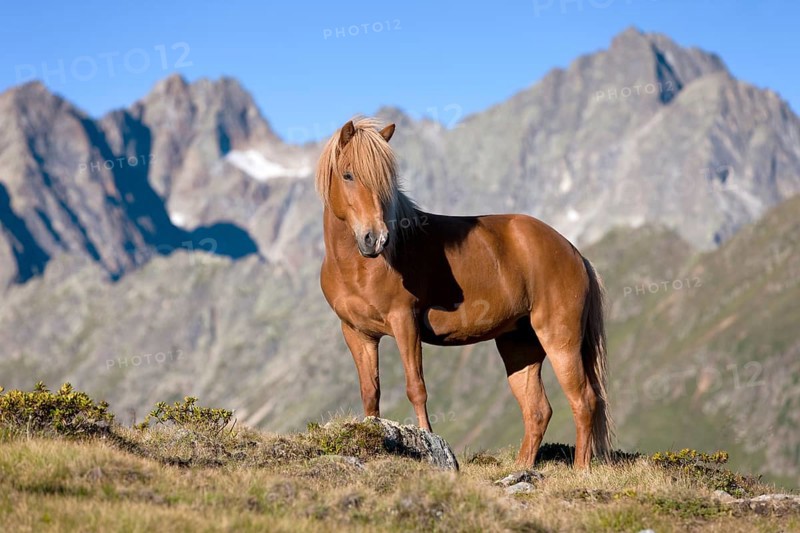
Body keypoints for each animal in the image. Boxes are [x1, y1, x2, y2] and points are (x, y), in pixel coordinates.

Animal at [316, 117, 613, 468]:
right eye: (348, 175)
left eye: (387, 181)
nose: (375, 239)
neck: (358, 268)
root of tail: (572, 251)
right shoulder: (358, 333)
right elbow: (370, 392)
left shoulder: (405, 323)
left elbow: (416, 387)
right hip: (520, 346)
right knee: (538, 410)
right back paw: (521, 467)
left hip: (560, 338)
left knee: (584, 400)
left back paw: (580, 469)